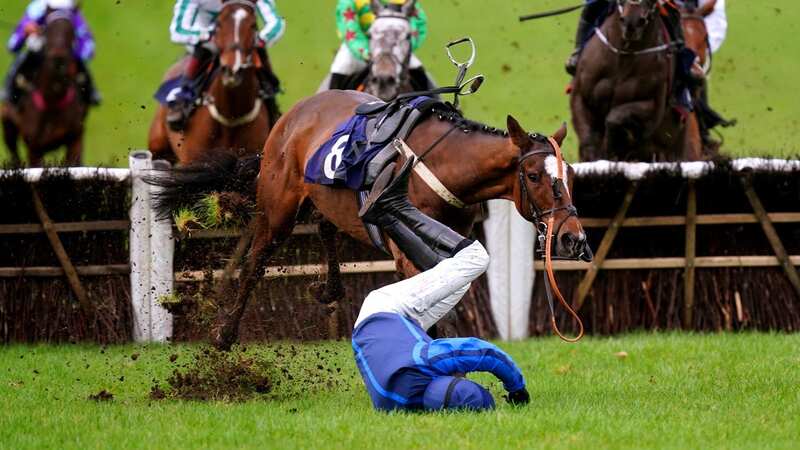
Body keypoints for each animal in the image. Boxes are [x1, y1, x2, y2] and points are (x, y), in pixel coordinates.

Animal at [150, 88, 592, 348]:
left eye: (570, 175)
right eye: (533, 176)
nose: (572, 238)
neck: (444, 165)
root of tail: (295, 113)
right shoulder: (408, 251)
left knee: (326, 225)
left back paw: (328, 288)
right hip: (277, 208)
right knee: (255, 263)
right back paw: (225, 334)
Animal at [568, 0, 700, 162]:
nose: (632, 22)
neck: (624, 56)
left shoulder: (652, 107)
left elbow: (615, 119)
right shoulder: (580, 97)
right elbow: (589, 141)